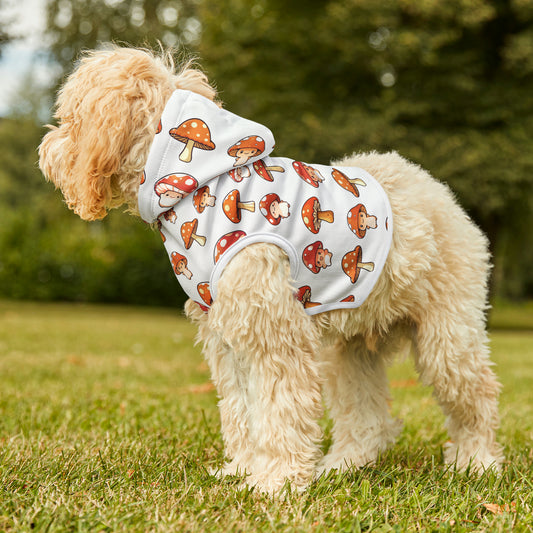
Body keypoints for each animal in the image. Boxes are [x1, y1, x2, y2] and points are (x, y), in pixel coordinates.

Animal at [39, 44, 500, 490]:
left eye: (70, 119)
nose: (45, 151)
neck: (202, 184)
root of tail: (438, 190)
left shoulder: (274, 333)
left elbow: (279, 409)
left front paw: (275, 481)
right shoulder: (227, 335)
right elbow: (242, 410)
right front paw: (243, 470)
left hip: (447, 337)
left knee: (477, 395)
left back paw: (477, 463)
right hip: (350, 350)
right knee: (367, 417)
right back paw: (344, 465)